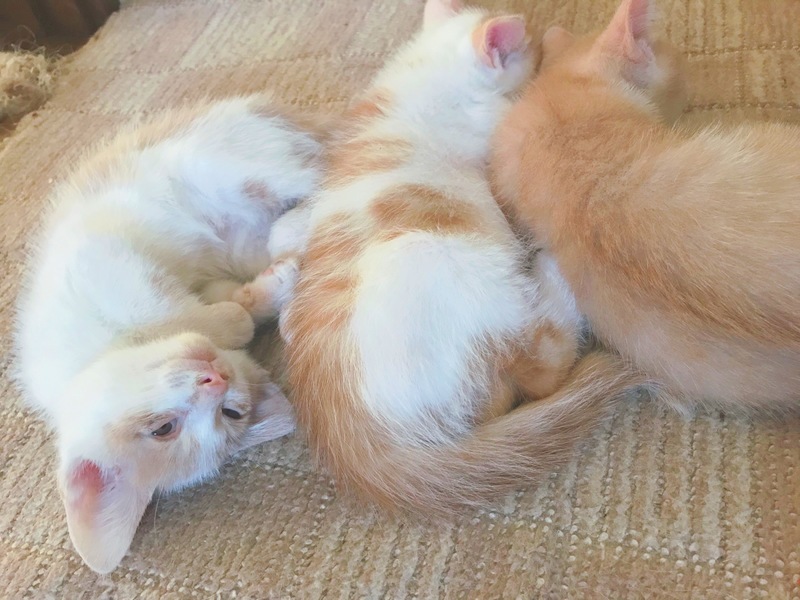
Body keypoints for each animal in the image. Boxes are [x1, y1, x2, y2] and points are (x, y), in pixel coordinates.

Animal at [14, 95, 325, 573]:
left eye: (161, 429)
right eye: (232, 413)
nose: (215, 378)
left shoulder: (105, 264)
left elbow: (179, 308)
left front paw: (234, 317)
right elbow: (235, 307)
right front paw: (262, 298)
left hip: (227, 163)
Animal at [279, 0, 646, 516]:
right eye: (527, 48)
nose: (536, 46)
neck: (428, 71)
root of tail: (354, 442)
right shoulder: (495, 123)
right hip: (460, 269)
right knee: (540, 369)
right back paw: (553, 273)